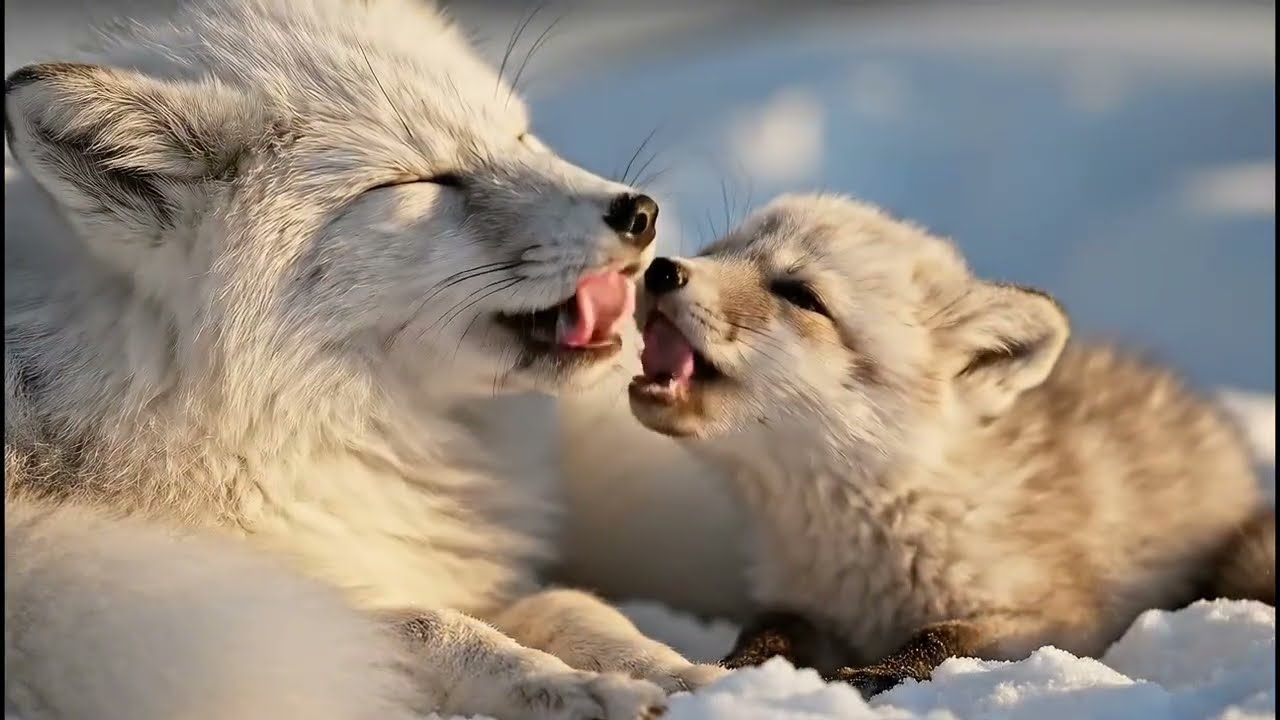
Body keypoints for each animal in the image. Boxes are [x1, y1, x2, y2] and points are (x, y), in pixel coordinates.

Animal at [2, 0, 728, 717]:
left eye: (519, 138)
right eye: (422, 182)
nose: (640, 212)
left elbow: (572, 605)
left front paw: (671, 671)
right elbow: (433, 627)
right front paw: (568, 686)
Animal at [625, 193, 1276, 696]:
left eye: (801, 295)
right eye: (718, 250)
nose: (661, 270)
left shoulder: (1063, 618)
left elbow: (943, 638)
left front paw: (881, 673)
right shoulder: (806, 604)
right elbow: (768, 632)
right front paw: (733, 671)